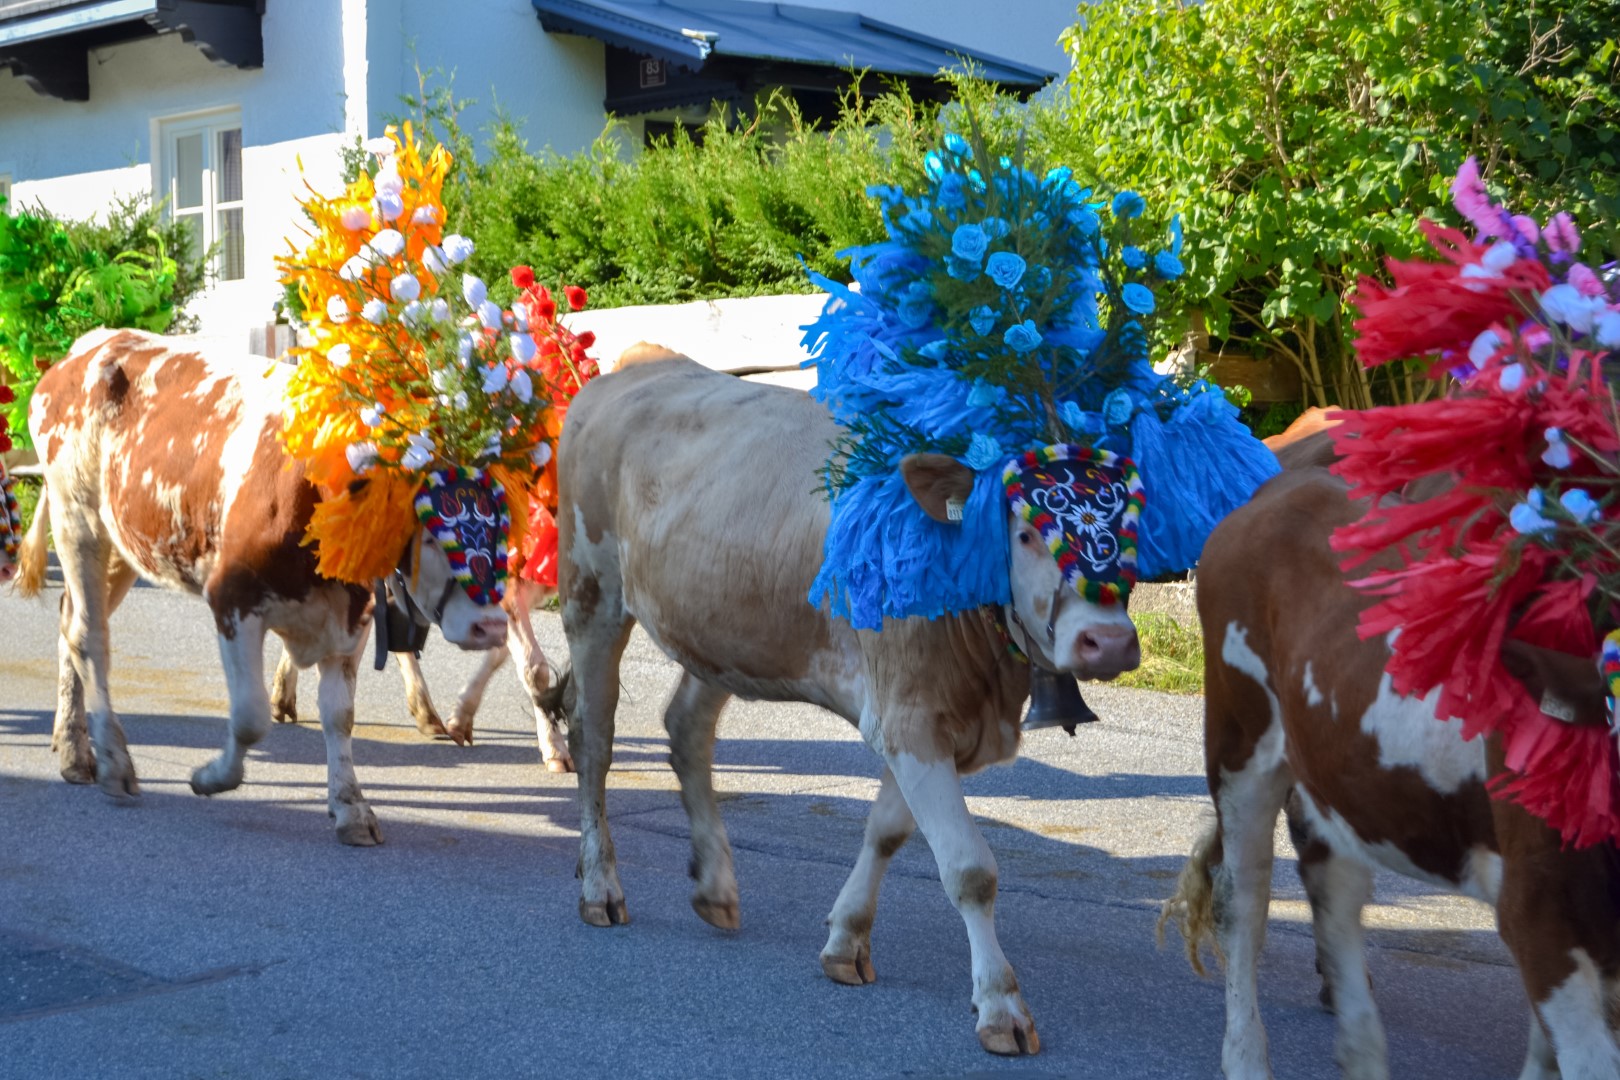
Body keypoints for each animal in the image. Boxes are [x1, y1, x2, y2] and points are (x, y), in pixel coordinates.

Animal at [12, 327, 505, 841]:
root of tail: (93, 343)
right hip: (77, 518)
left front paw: (351, 807)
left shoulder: (352, 617)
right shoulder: (232, 597)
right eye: (430, 532)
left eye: (501, 529)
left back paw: (73, 748)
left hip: (127, 541)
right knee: (89, 637)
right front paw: (211, 777)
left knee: (70, 622)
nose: (491, 627)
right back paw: (112, 763)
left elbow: (340, 717)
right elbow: (250, 717)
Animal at [557, 352, 1140, 1055]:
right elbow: (969, 869)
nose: (1108, 641)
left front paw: (846, 939)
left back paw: (716, 886)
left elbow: (886, 831)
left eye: (1132, 525)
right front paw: (1001, 1004)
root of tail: (636, 365)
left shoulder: (922, 718)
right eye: (1025, 533)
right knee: (593, 738)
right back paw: (600, 886)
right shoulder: (910, 716)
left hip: (725, 630)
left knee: (686, 728)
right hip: (591, 590)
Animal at [1159, 433, 1620, 1080]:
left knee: (1335, 889)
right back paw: (1247, 1057)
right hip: (1238, 735)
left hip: (1334, 773)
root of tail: (1284, 484)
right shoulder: (1543, 908)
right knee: (1243, 899)